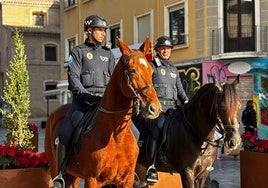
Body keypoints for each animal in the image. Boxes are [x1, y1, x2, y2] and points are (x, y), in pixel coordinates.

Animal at [44, 37, 160, 188]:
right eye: (133, 71)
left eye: (151, 71)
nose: (154, 108)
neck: (116, 136)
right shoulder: (92, 180)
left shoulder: (126, 180)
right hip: (55, 166)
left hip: (74, 176)